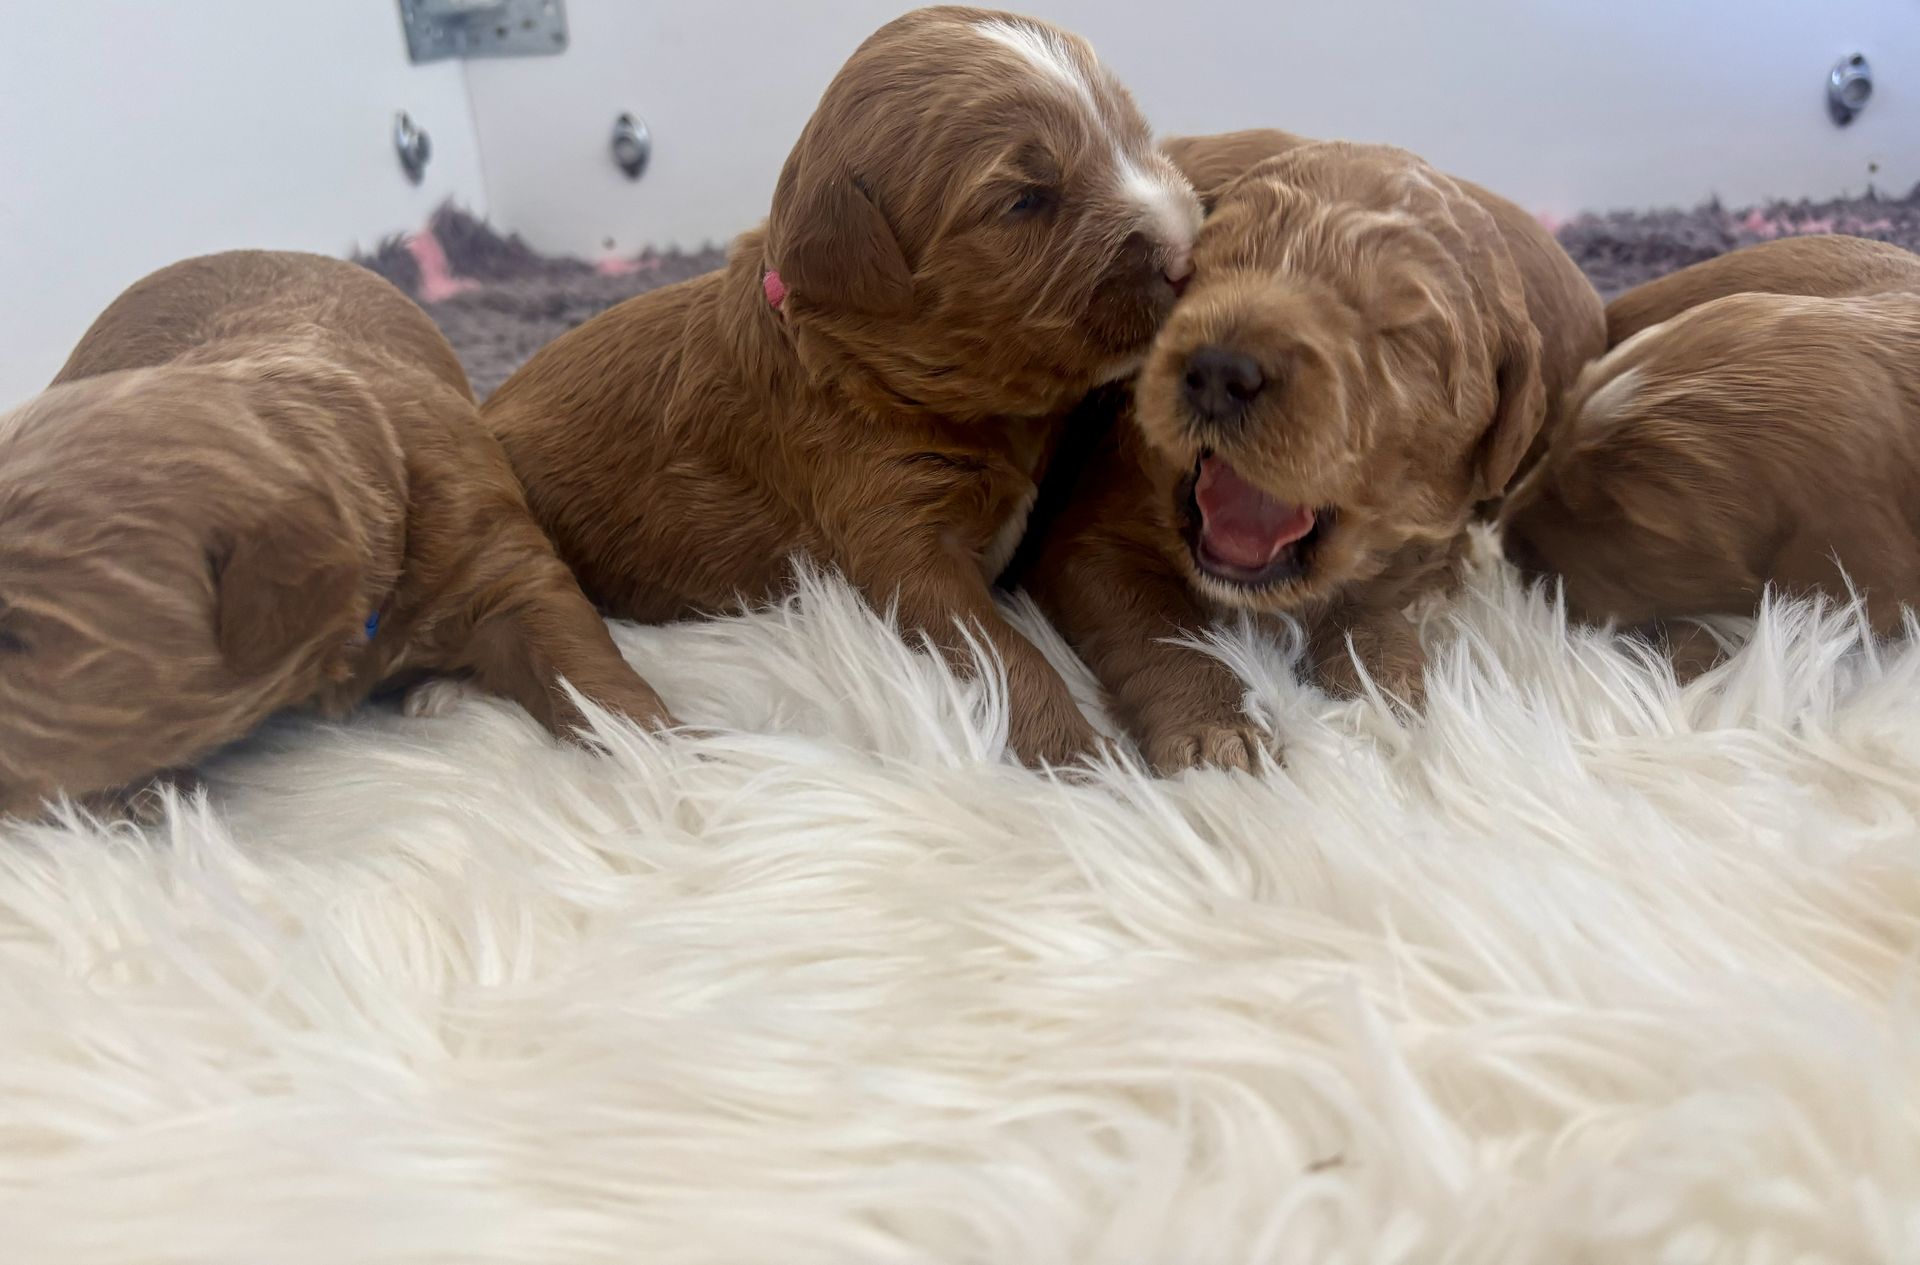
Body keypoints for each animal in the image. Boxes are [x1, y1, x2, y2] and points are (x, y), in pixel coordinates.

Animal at [482, 6, 1200, 766]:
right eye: (1025, 201)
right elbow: (1004, 654)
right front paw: (1081, 758)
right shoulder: (897, 538)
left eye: (1137, 137)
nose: (1189, 252)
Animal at [1019, 131, 1604, 770]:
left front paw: (1390, 685)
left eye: (1399, 333)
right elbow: (1158, 626)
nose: (1220, 370)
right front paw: (1216, 729)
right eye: (1202, 271)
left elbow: (1375, 598)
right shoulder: (1096, 528)